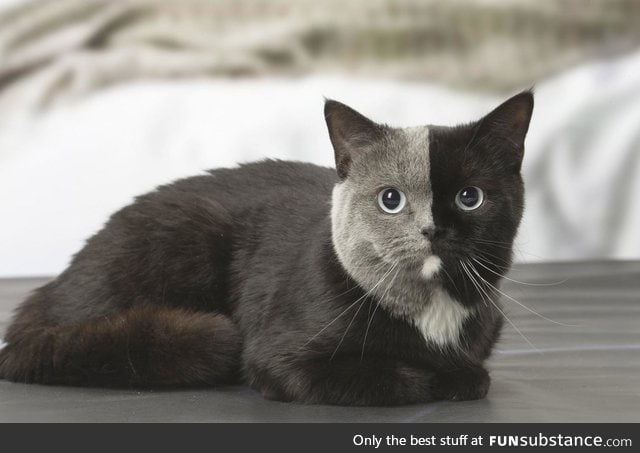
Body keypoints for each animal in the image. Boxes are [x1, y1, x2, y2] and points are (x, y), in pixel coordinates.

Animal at [0, 90, 528, 404]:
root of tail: (50, 290)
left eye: (470, 197)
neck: (431, 307)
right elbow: (398, 377)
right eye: (391, 199)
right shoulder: (280, 358)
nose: (432, 230)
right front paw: (444, 376)